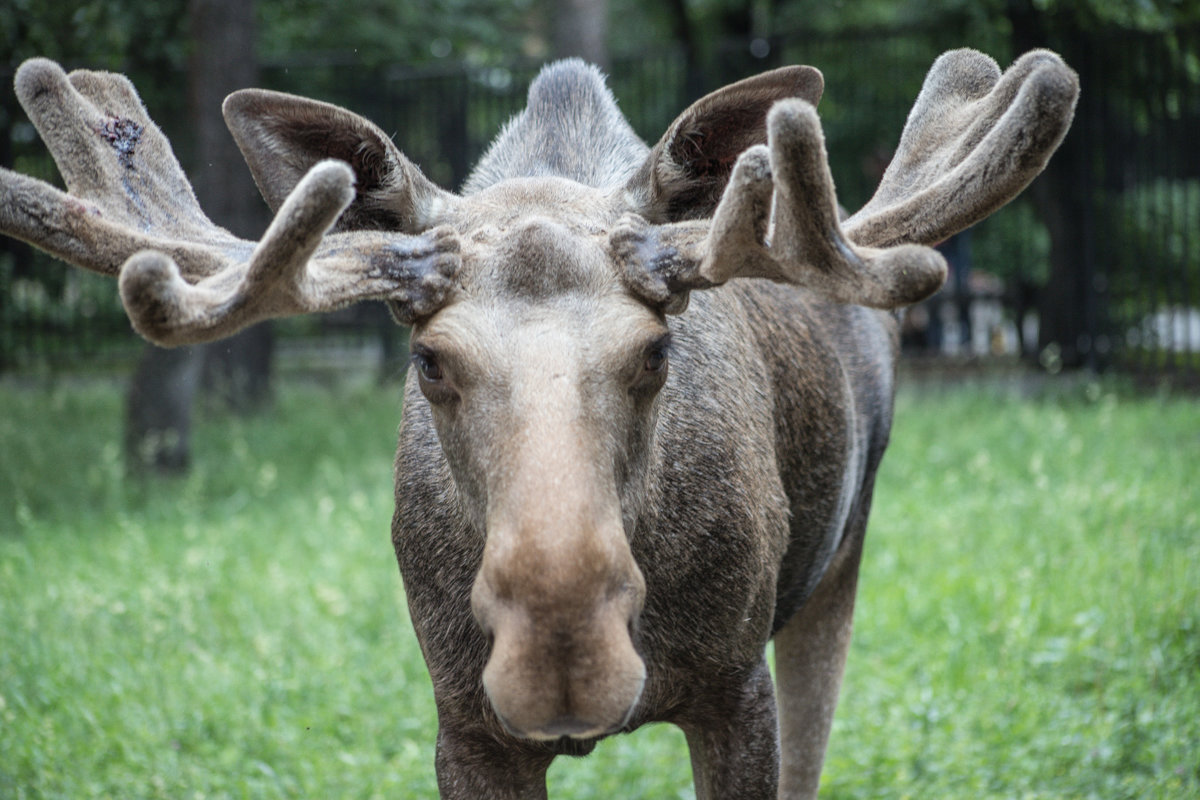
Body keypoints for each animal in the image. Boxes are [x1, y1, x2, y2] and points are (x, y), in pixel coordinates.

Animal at [2, 51, 1080, 800]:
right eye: (430, 358)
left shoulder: (735, 689)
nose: (563, 649)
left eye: (656, 349)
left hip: (838, 563)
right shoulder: (463, 721)